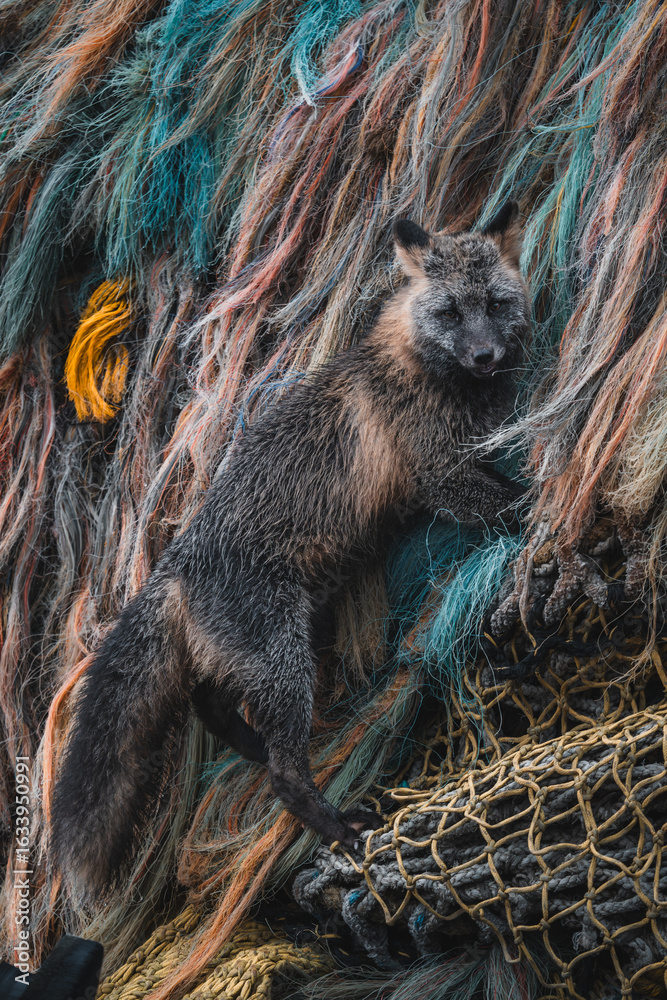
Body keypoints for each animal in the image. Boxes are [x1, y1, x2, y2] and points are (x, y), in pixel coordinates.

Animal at [51, 201, 530, 898]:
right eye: (449, 313)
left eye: (495, 305)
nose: (487, 355)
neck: (416, 367)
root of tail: (175, 566)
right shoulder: (440, 474)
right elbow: (511, 505)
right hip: (285, 660)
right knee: (282, 772)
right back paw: (333, 825)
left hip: (269, 648)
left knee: (209, 702)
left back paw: (250, 746)